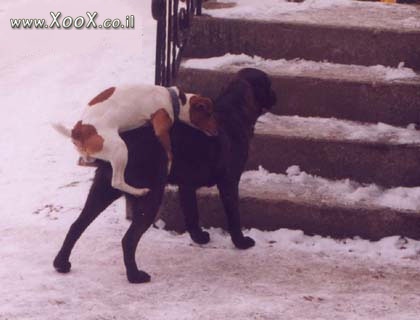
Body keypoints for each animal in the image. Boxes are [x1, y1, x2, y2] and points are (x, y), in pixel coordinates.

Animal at [53, 84, 217, 196]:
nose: (218, 130)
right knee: (117, 182)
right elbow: (170, 153)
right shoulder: (161, 130)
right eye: (208, 114)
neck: (174, 99)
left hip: (96, 153)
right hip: (120, 149)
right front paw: (170, 167)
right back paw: (139, 191)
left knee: (85, 161)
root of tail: (77, 131)